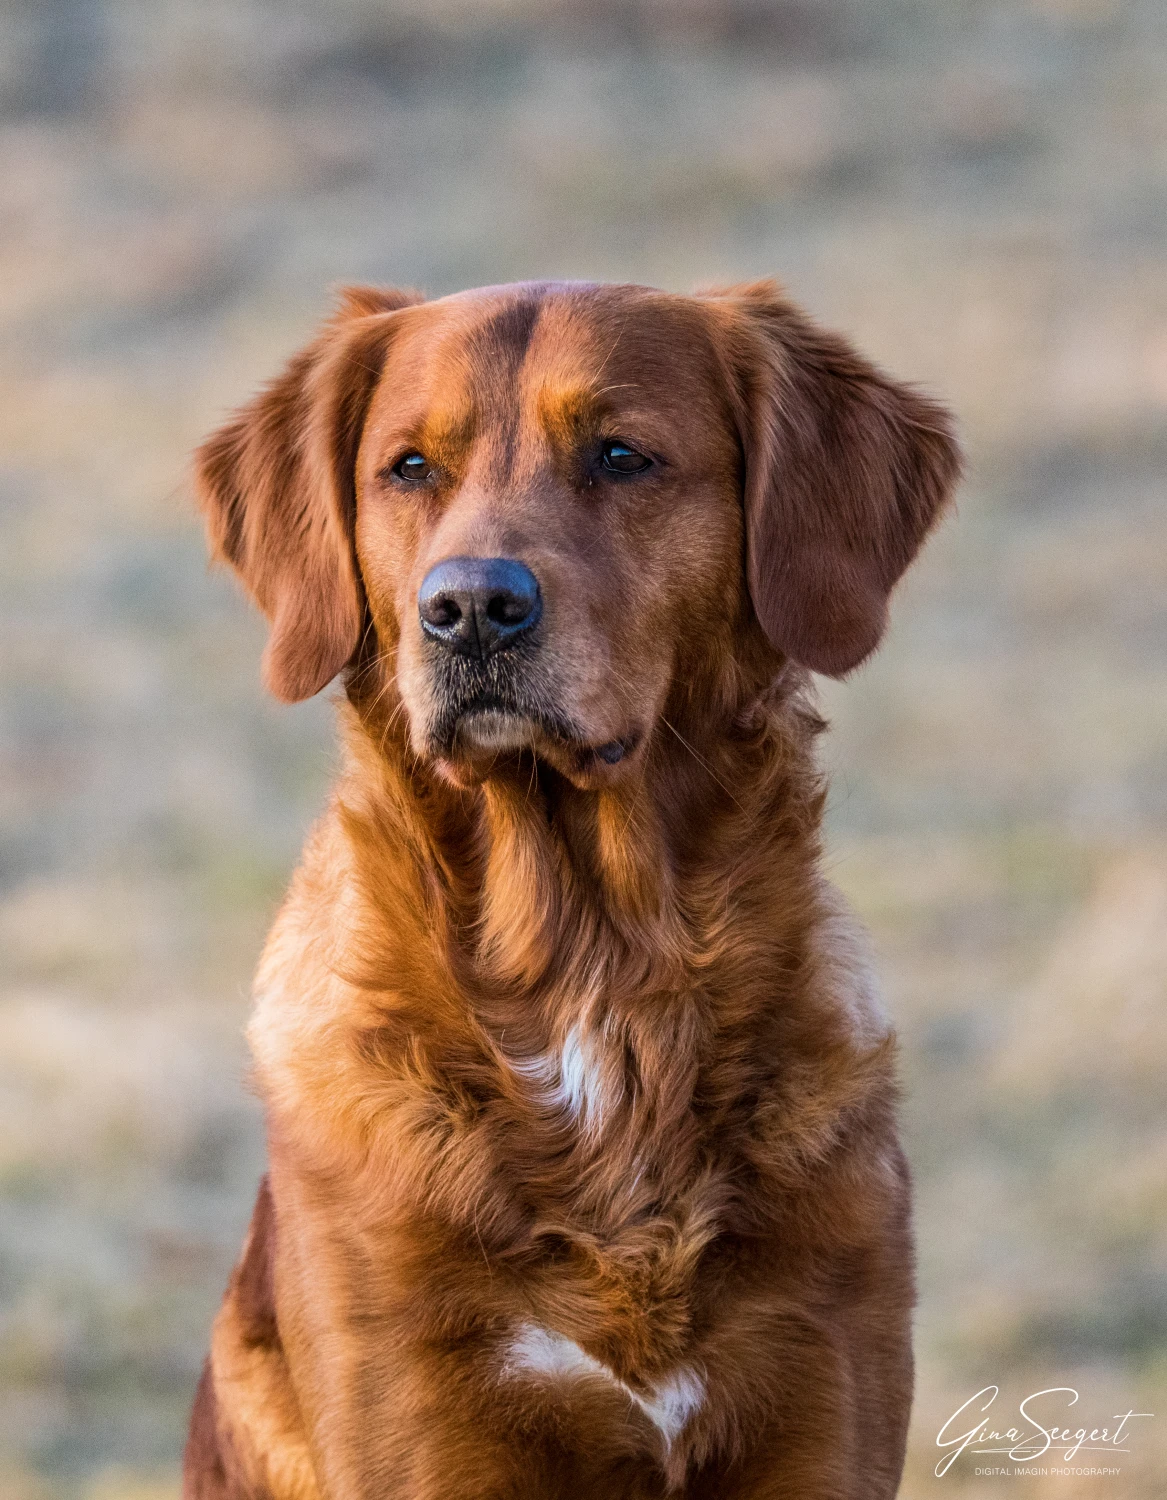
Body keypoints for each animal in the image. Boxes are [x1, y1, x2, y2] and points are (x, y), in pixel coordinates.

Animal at [181, 276, 960, 1494]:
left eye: (621, 455)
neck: (592, 969)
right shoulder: (425, 1411)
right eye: (410, 467)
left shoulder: (822, 1388)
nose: (469, 608)